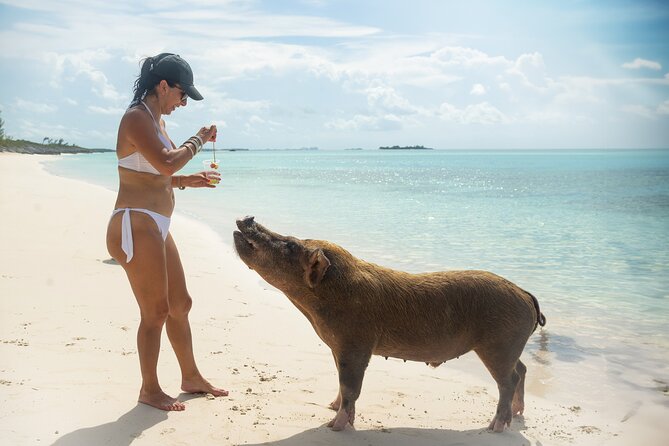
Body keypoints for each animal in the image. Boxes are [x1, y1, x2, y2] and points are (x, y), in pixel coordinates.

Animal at [233, 216, 546, 432]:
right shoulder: (337, 346)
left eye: (290, 245)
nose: (247, 218)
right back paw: (517, 414)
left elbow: (351, 386)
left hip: (498, 344)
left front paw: (335, 427)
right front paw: (330, 407)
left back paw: (495, 427)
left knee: (508, 380)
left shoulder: (357, 344)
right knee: (522, 369)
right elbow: (340, 381)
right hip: (509, 346)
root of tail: (525, 294)